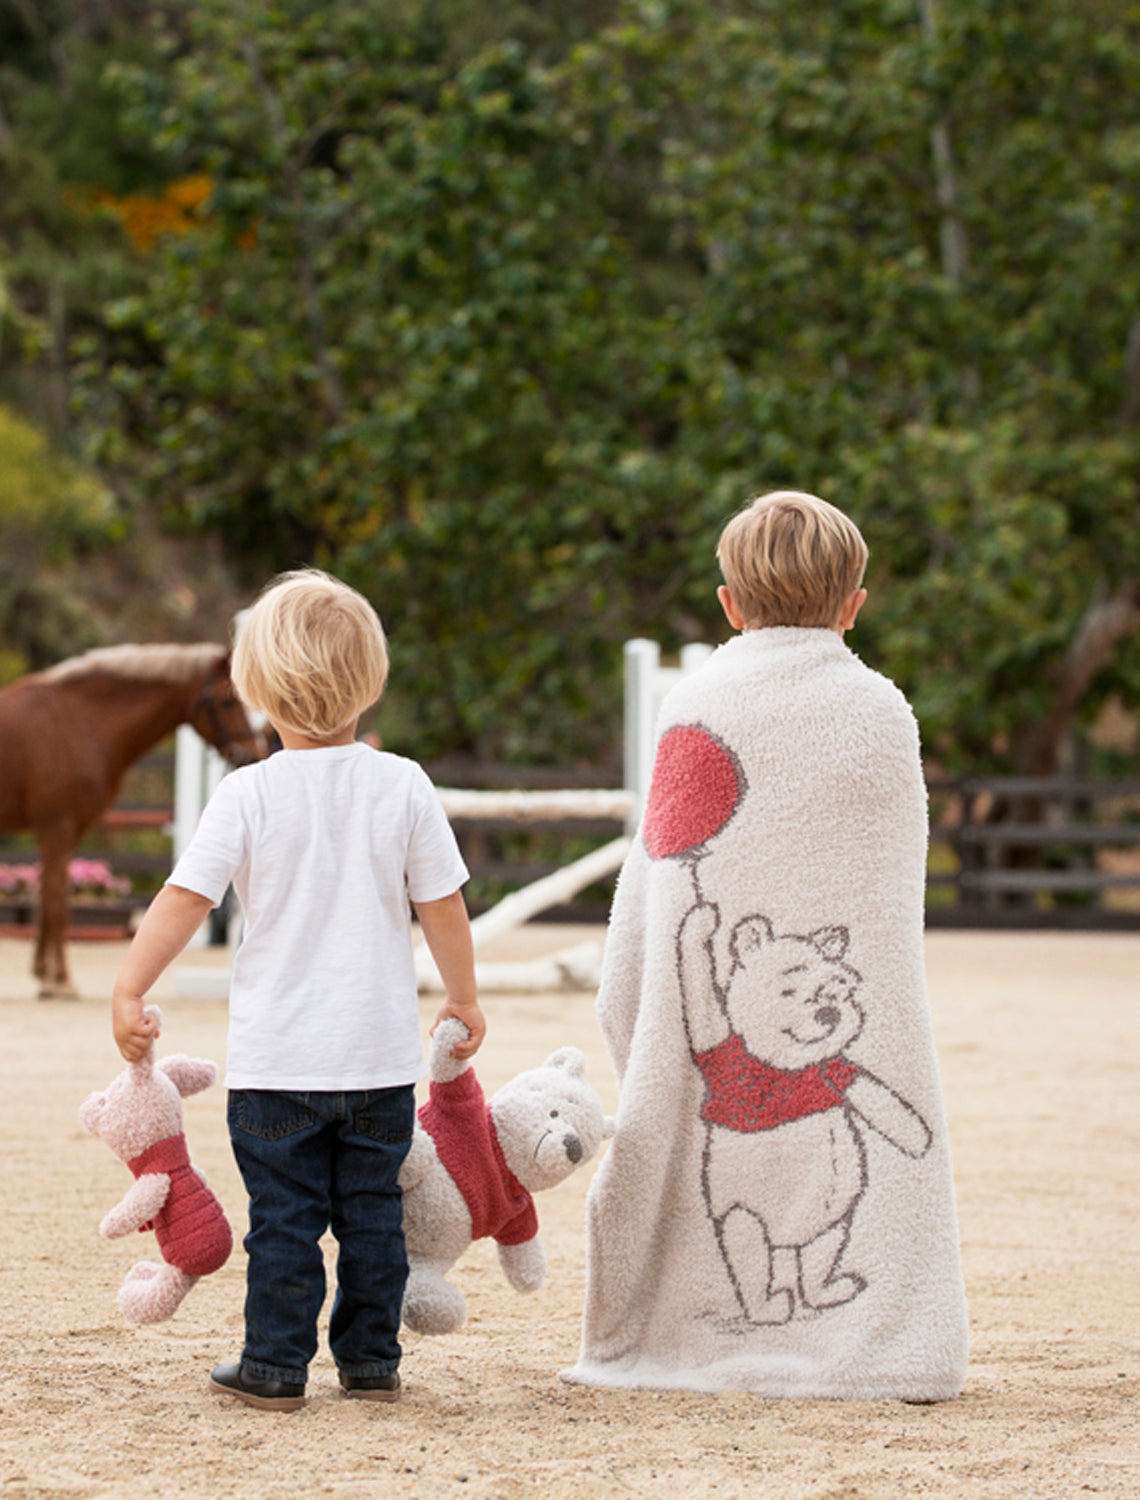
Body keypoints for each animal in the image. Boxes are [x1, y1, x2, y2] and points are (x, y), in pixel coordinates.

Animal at [0, 642, 265, 996]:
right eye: (227, 701)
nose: (251, 754)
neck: (77, 720)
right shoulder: (57, 828)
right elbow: (56, 903)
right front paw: (60, 981)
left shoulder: (65, 831)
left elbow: (47, 901)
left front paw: (46, 975)